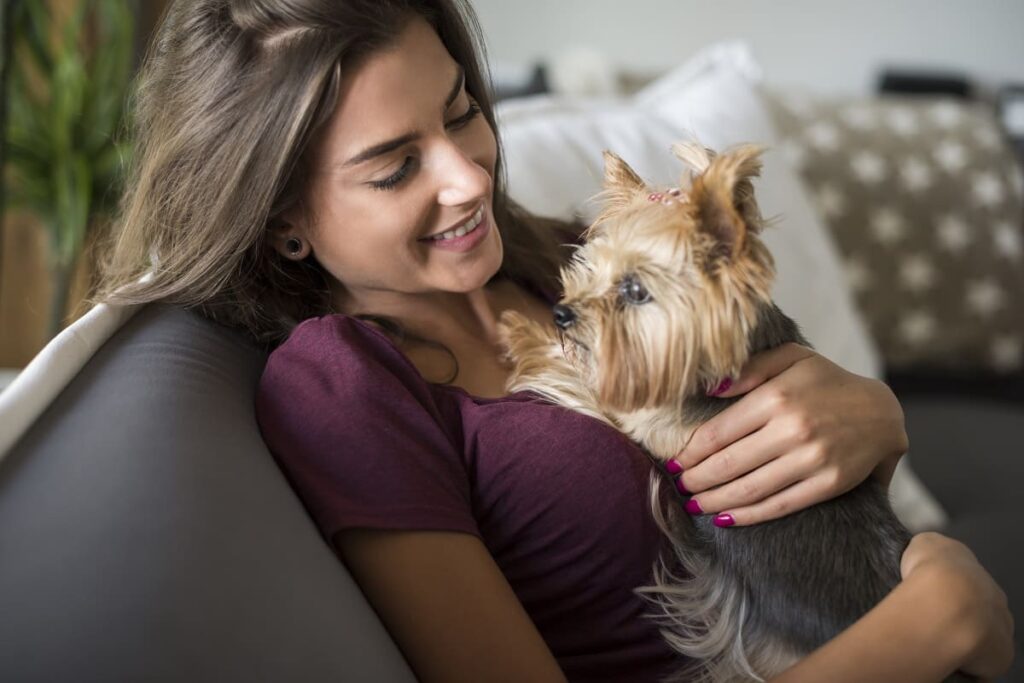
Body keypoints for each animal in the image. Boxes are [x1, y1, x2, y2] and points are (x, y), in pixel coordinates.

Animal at [497, 141, 966, 679]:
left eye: (636, 290)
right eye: (588, 270)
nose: (561, 313)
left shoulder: (643, 406)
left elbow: (579, 379)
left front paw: (519, 332)